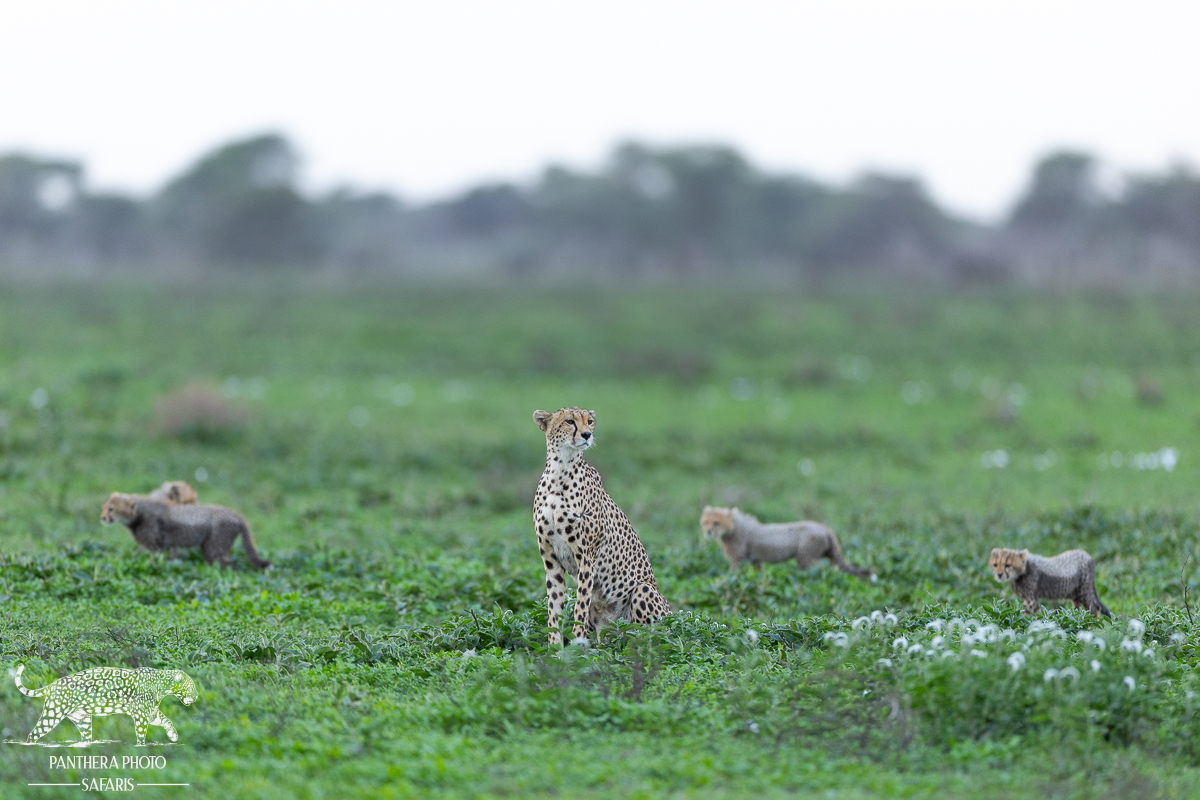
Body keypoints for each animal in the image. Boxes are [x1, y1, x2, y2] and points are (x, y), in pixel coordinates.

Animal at [12, 664, 198, 745]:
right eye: (191, 686)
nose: (196, 697)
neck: (162, 685)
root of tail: (52, 684)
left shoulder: (150, 712)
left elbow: (166, 720)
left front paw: (173, 735)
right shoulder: (141, 715)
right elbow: (141, 734)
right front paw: (141, 746)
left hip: (83, 720)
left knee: (85, 737)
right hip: (53, 713)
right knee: (34, 733)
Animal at [101, 492, 270, 569]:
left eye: (111, 509)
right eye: (103, 507)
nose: (103, 517)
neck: (138, 514)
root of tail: (238, 516)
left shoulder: (155, 545)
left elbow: (151, 559)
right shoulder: (167, 544)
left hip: (215, 544)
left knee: (225, 563)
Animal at [533, 407, 670, 645]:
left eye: (590, 421)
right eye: (569, 421)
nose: (587, 435)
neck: (561, 469)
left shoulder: (587, 557)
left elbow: (579, 605)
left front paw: (576, 643)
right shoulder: (551, 560)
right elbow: (554, 607)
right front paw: (554, 648)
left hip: (644, 590)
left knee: (650, 636)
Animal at [701, 506, 875, 580]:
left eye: (716, 523)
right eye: (705, 522)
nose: (708, 532)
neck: (735, 527)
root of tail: (825, 527)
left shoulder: (738, 559)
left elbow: (732, 574)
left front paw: (723, 581)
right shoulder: (754, 559)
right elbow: (758, 572)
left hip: (805, 556)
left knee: (817, 570)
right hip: (830, 554)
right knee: (836, 567)